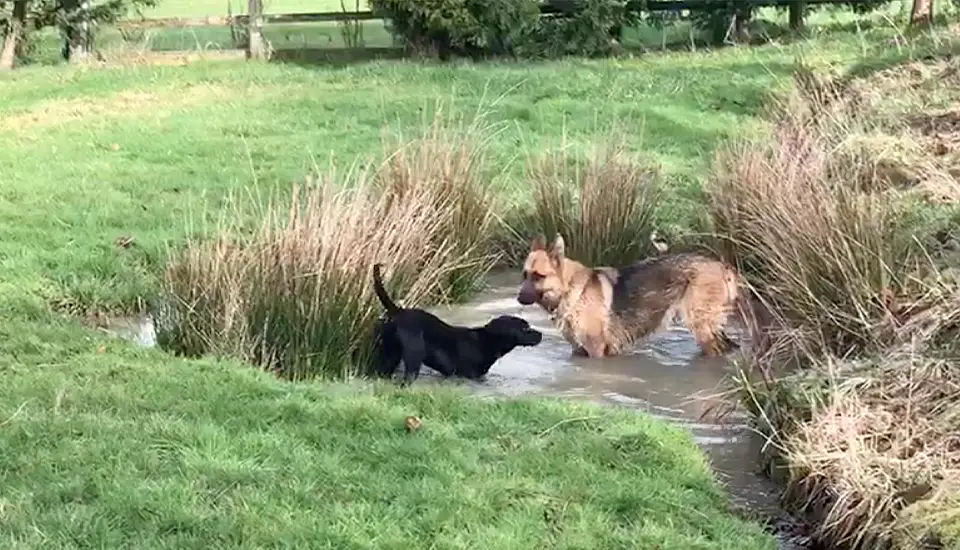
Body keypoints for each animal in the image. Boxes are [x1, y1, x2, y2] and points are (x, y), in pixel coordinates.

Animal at [372, 266, 544, 386]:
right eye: (525, 329)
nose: (541, 335)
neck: (486, 340)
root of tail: (398, 311)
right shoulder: (469, 374)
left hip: (389, 352)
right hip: (414, 353)